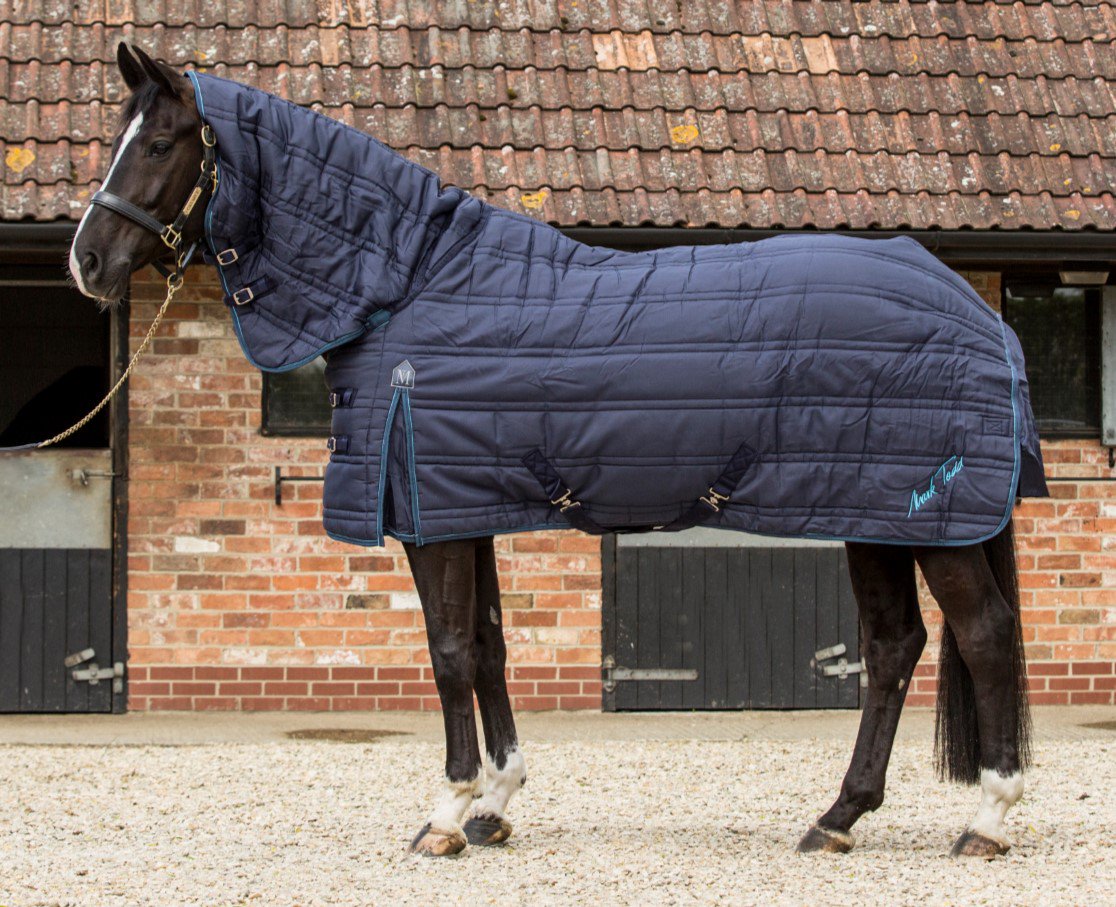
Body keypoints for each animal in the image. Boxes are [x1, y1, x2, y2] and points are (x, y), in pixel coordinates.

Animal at [68, 43, 1037, 859]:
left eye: (160, 143)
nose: (86, 262)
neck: (405, 285)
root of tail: (975, 312)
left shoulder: (431, 515)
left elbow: (449, 649)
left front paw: (448, 813)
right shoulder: (464, 507)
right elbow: (489, 645)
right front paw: (497, 803)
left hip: (925, 518)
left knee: (984, 635)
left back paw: (987, 819)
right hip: (872, 514)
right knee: (895, 646)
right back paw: (838, 817)